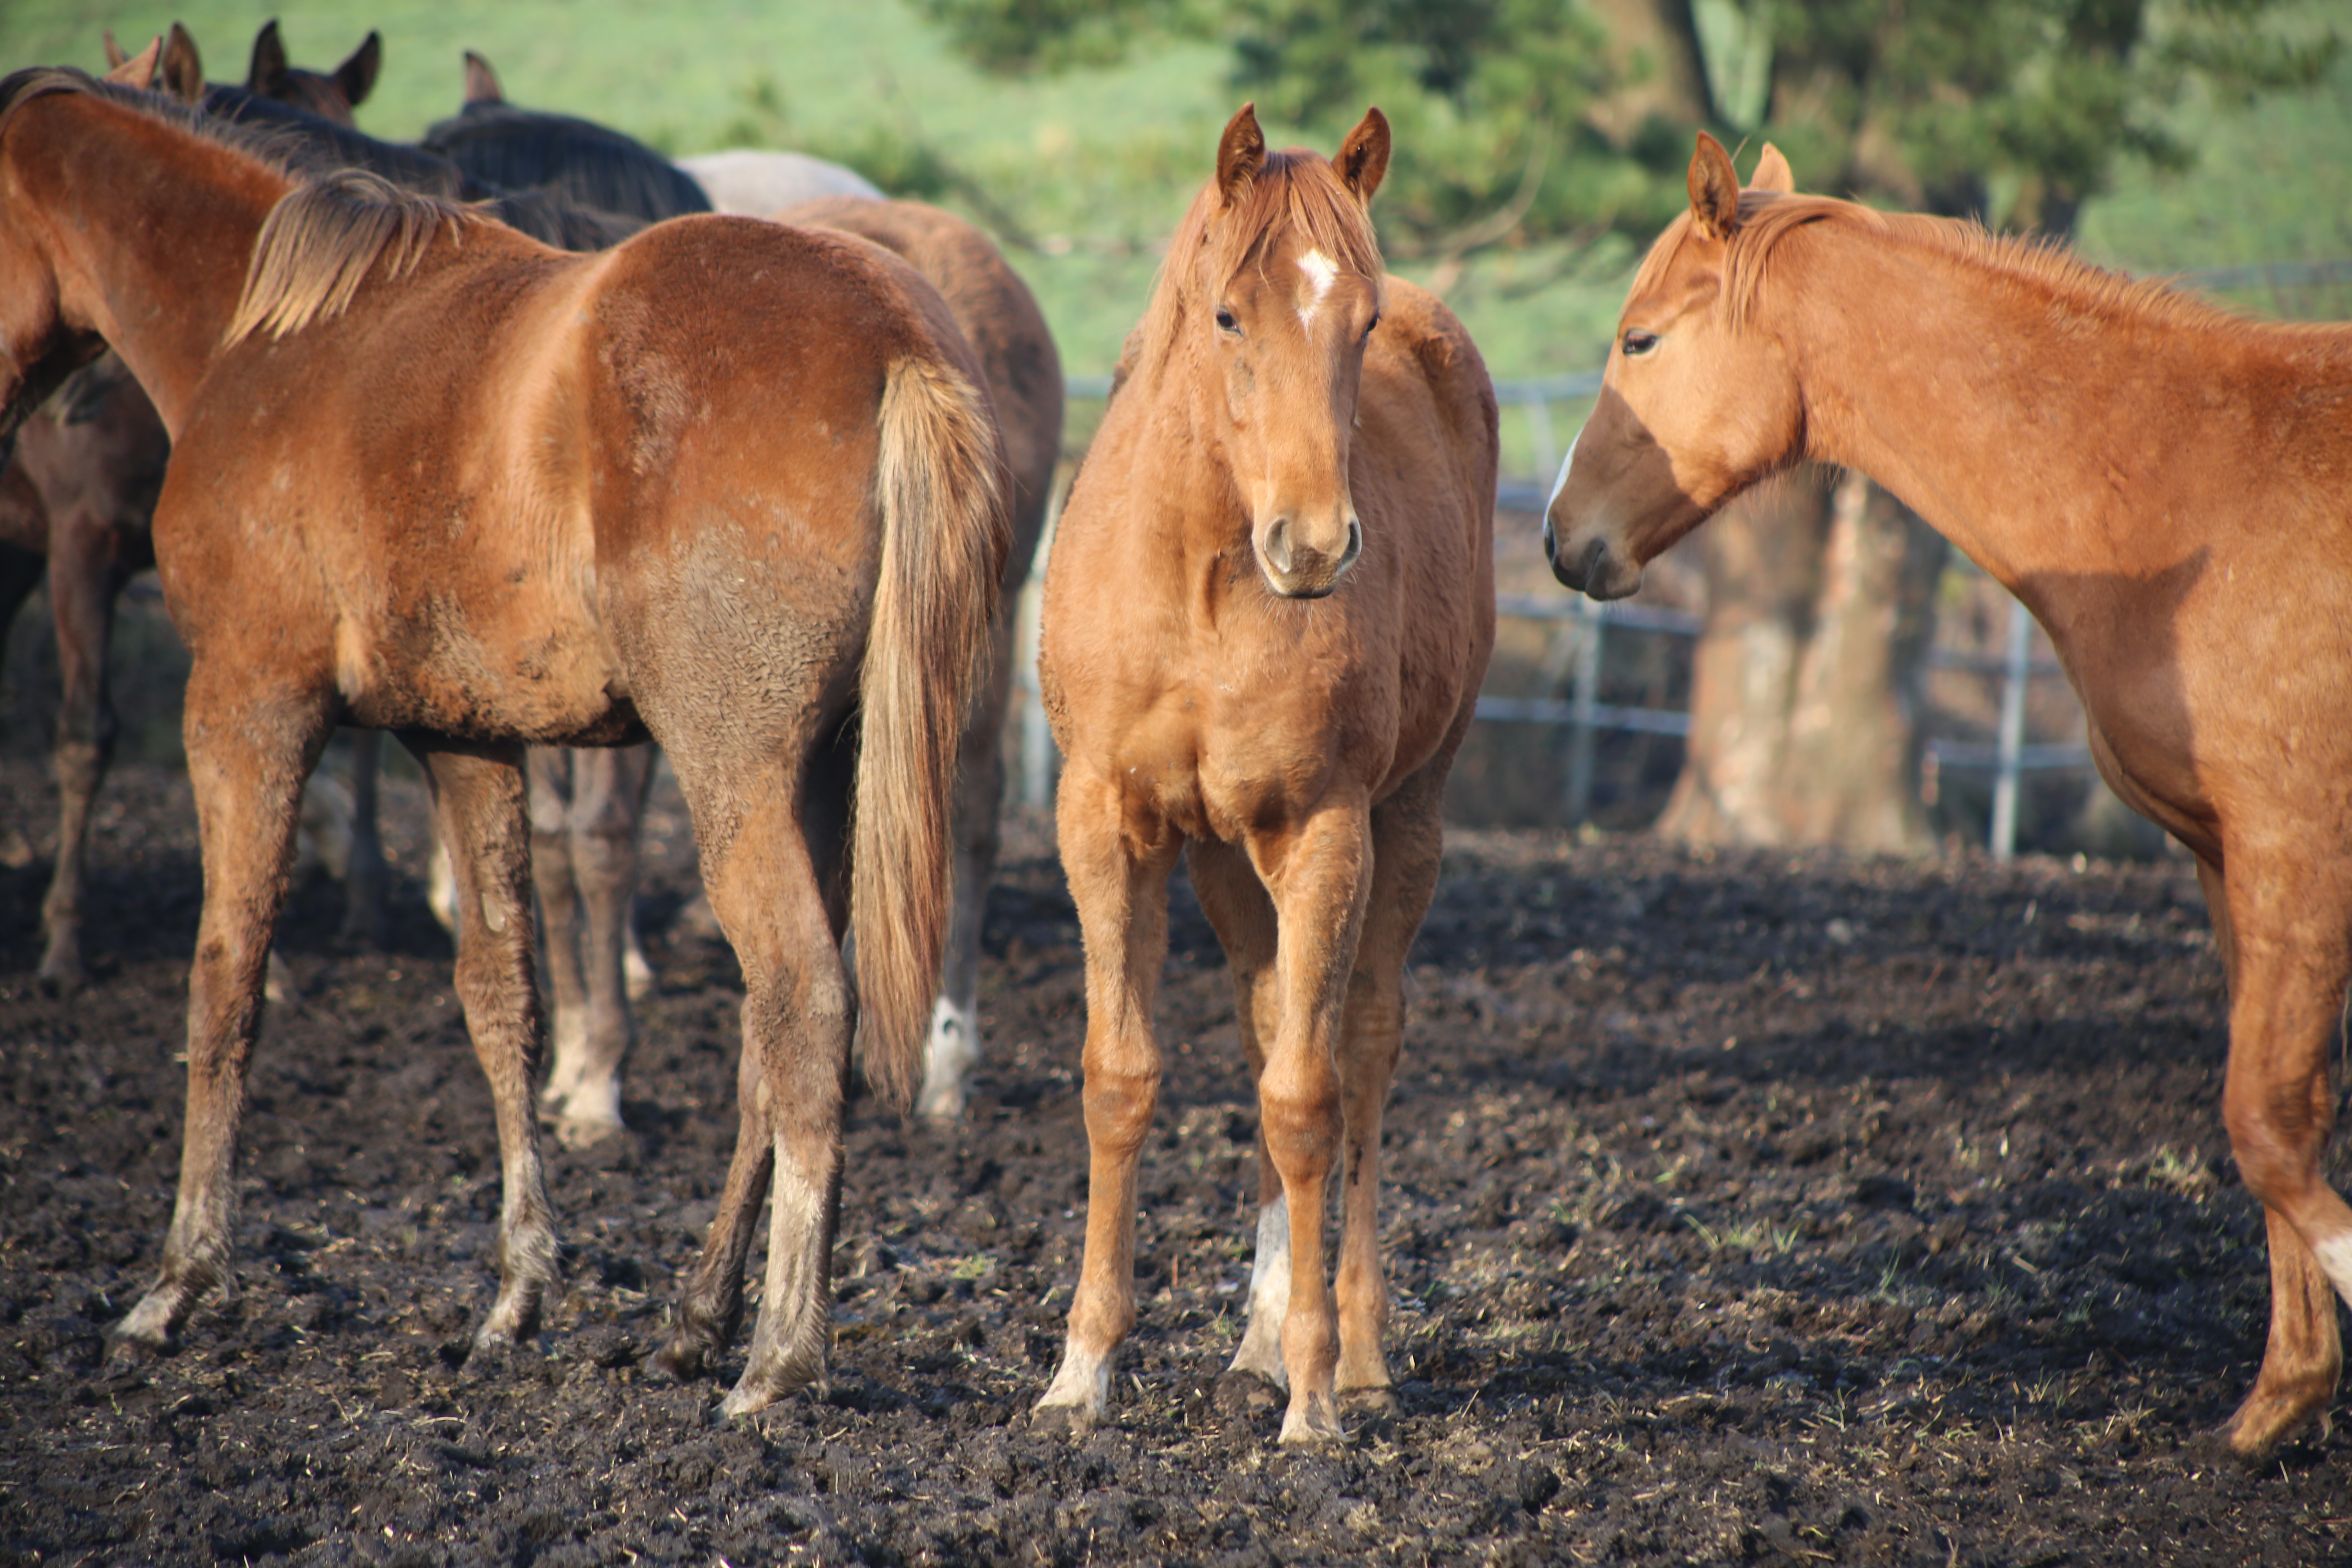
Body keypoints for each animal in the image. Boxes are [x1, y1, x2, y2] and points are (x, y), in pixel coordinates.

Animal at [0, 67, 1002, 1420]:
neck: (272, 329)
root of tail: (895, 335)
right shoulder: (459, 740)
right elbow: (501, 993)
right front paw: (515, 1294)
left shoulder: (249, 706)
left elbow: (226, 977)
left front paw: (177, 1284)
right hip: (829, 775)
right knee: (769, 1031)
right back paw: (699, 1318)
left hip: (733, 771)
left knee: (802, 1006)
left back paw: (779, 1354)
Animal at [1035, 104, 1505, 1439]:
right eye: (1229, 316)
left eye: (1361, 317)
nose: (1311, 544)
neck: (1200, 576)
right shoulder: (1106, 822)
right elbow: (1121, 1077)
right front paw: (1081, 1370)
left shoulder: (1321, 830)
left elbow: (1308, 1098)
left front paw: (1312, 1396)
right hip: (1222, 860)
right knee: (1260, 1029)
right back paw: (1249, 1340)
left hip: (1405, 822)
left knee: (1361, 1050)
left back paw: (1353, 1348)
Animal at [1552, 131, 2352, 1457]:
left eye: (1640, 340)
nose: (1562, 538)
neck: (2197, 488)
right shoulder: (2228, 860)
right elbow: (2279, 1123)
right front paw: (2280, 1401)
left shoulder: (2298, 849)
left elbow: (2270, 1125)